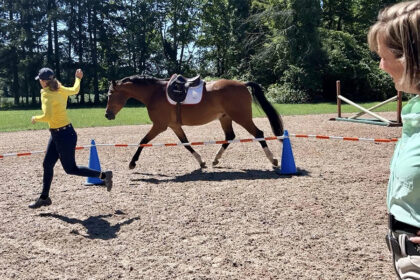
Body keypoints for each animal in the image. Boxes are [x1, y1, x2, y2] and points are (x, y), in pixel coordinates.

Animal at [104, 75, 284, 170]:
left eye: (110, 95)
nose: (107, 115)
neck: (154, 93)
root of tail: (242, 83)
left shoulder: (159, 126)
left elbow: (143, 141)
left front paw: (132, 163)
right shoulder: (174, 125)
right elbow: (186, 143)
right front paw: (201, 161)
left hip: (242, 118)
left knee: (258, 133)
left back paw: (273, 160)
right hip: (225, 118)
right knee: (230, 136)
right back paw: (215, 159)